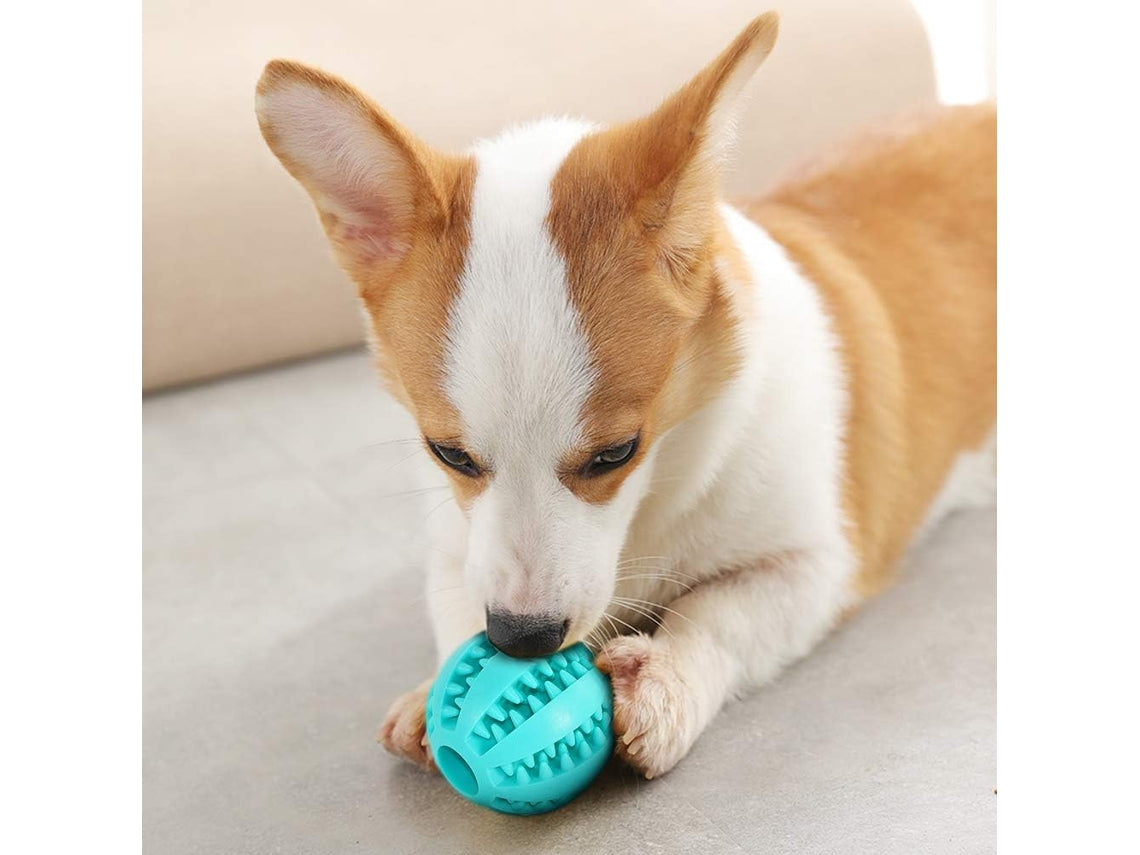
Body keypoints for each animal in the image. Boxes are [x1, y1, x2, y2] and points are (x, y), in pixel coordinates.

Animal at [256, 11, 998, 784]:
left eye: (616, 453)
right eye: (449, 455)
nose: (521, 639)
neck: (655, 498)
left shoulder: (818, 563)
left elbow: (716, 615)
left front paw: (665, 675)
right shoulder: (456, 544)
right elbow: (457, 599)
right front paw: (433, 689)